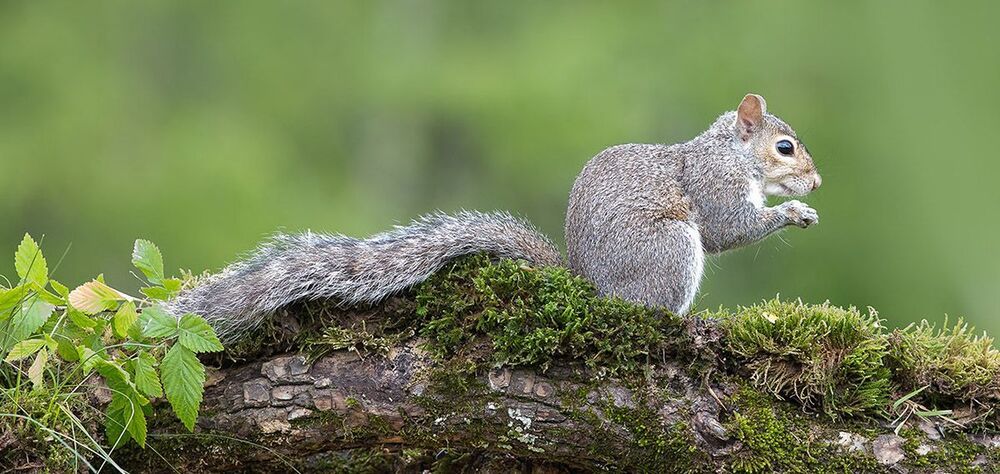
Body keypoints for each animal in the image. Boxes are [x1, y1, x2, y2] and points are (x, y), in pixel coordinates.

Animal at [168, 94, 821, 343]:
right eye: (785, 147)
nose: (817, 181)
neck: (730, 153)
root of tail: (589, 287)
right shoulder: (714, 189)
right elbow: (730, 229)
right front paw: (795, 210)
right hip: (671, 249)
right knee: (649, 307)